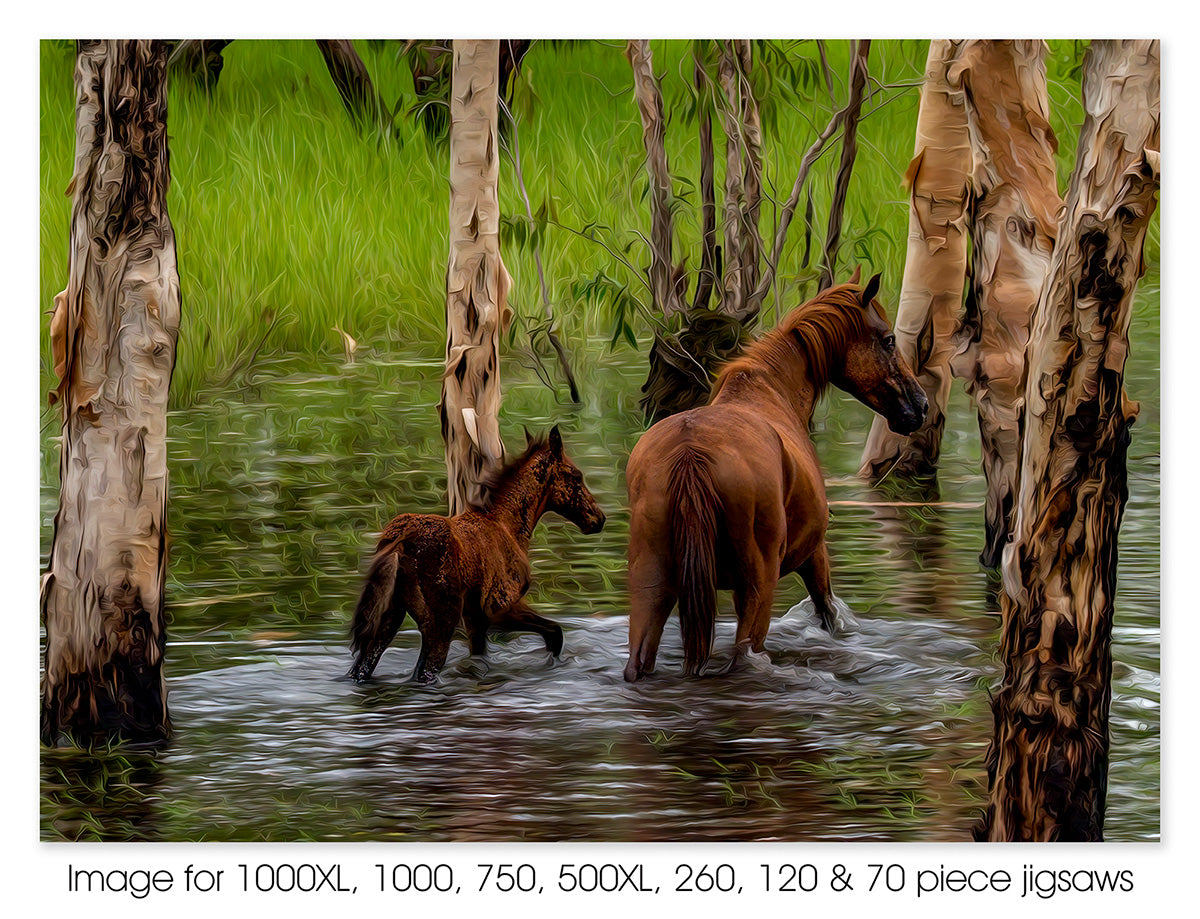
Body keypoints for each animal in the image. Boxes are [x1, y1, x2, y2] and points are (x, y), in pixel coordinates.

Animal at [350, 427, 604, 681]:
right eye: (576, 475)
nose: (598, 518)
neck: (507, 526)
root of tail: (401, 540)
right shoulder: (499, 607)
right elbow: (555, 633)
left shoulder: (475, 619)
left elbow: (480, 658)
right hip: (439, 624)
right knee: (425, 672)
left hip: (388, 619)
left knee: (361, 668)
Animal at [624, 273, 931, 681]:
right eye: (888, 340)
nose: (921, 405)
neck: (773, 389)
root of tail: (690, 456)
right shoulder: (815, 556)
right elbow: (828, 615)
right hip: (756, 586)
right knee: (744, 655)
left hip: (653, 586)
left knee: (638, 662)